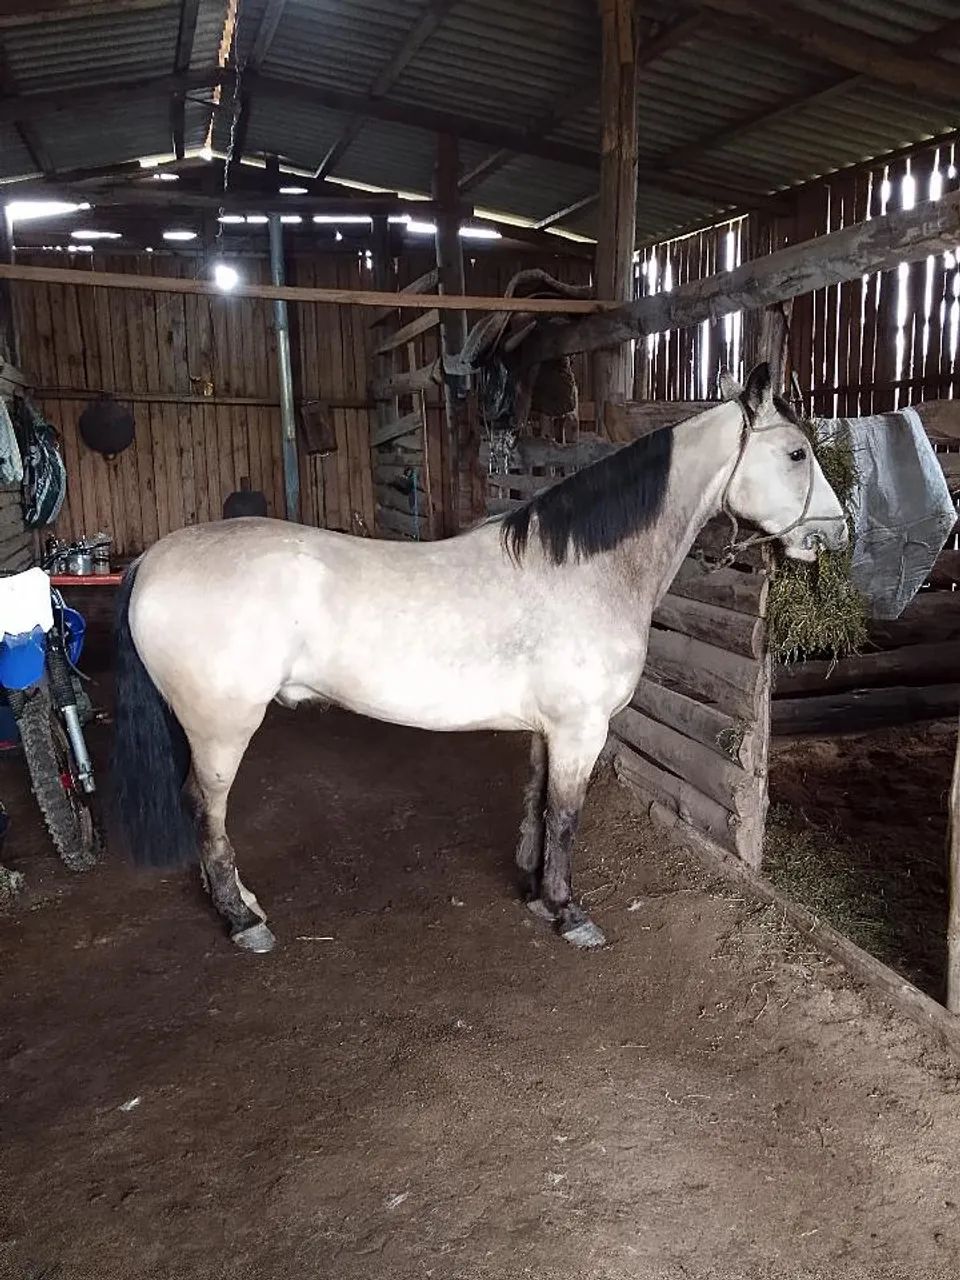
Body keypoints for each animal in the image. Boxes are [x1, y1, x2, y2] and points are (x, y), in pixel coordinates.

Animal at [110, 362, 846, 953]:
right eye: (796, 452)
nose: (836, 534)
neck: (584, 569)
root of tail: (154, 560)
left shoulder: (550, 729)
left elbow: (537, 804)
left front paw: (531, 888)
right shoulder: (581, 730)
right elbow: (567, 817)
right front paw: (569, 912)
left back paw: (246, 904)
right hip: (221, 728)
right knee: (205, 810)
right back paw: (242, 922)